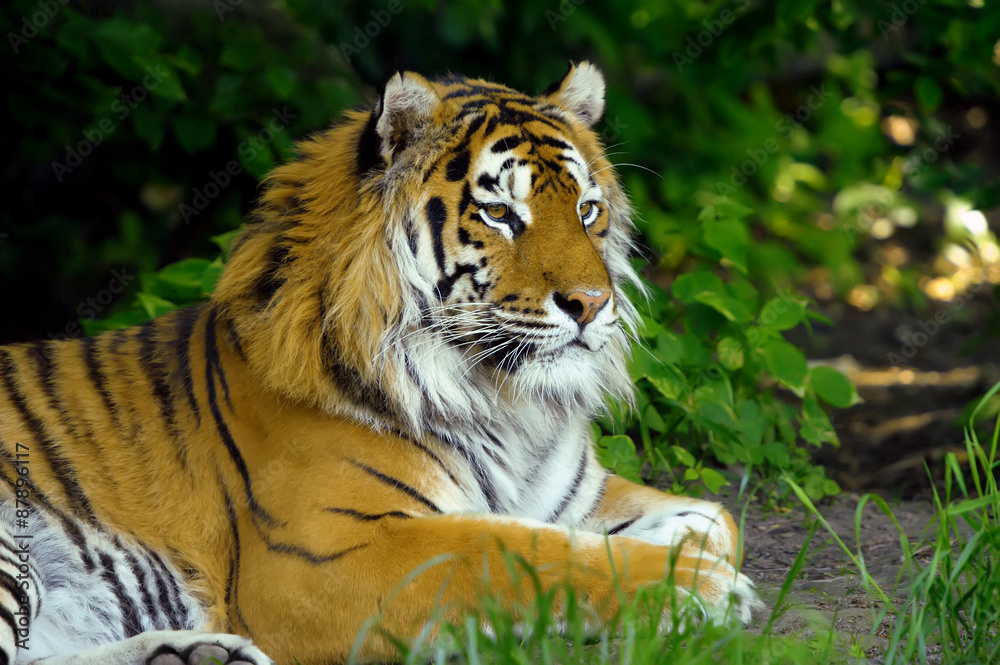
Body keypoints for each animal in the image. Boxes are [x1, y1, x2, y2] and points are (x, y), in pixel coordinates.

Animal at [0, 62, 760, 665]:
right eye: (500, 214)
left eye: (588, 210)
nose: (593, 303)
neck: (504, 402)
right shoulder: (324, 557)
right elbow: (509, 550)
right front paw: (699, 584)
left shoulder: (569, 496)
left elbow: (716, 516)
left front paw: (694, 548)